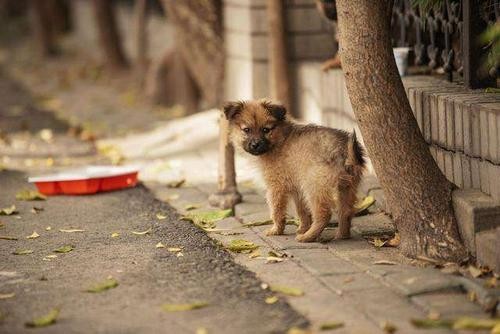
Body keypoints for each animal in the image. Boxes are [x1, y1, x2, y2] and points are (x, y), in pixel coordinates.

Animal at [225, 98, 366, 241]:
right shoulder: (297, 189)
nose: (255, 144)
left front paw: (276, 230)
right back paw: (341, 235)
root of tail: (345, 150)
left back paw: (307, 237)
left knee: (324, 214)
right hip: (347, 187)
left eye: (266, 130)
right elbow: (302, 211)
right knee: (346, 212)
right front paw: (302, 228)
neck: (279, 140)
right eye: (246, 130)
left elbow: (276, 210)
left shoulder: (276, 186)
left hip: (314, 186)